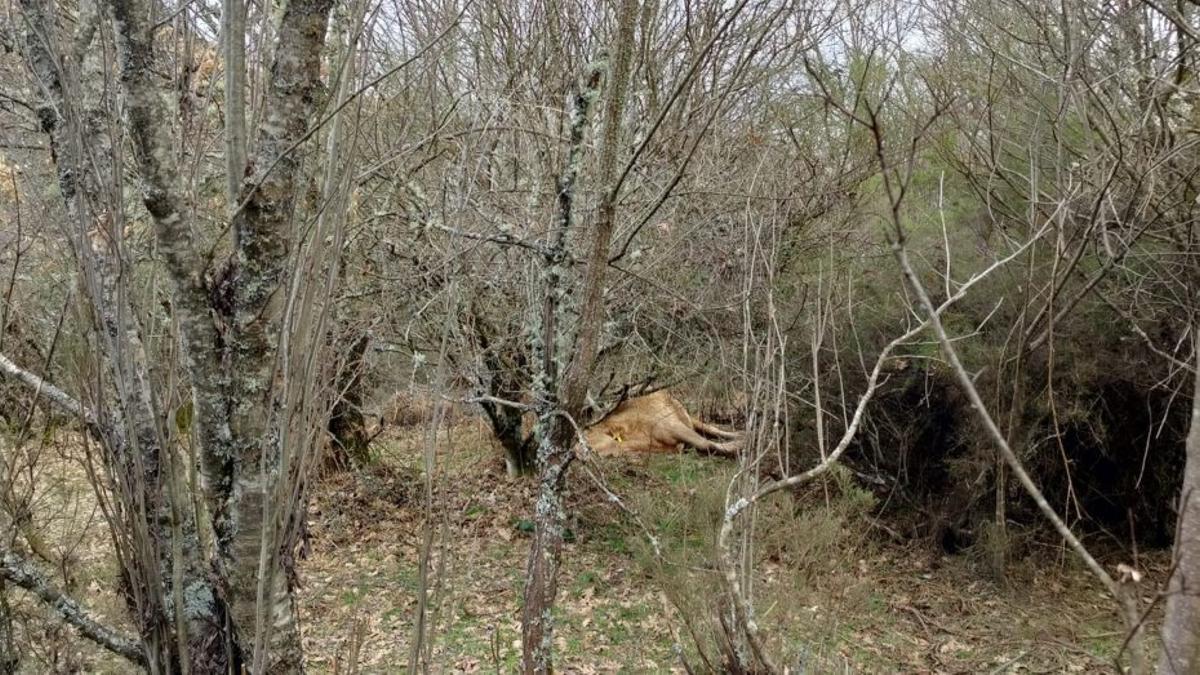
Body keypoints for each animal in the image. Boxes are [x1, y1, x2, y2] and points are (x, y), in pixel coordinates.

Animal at [581, 390, 743, 458]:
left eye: (586, 438)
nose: (577, 452)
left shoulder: (673, 426)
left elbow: (708, 444)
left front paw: (739, 446)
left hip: (685, 415)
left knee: (712, 428)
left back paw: (742, 434)